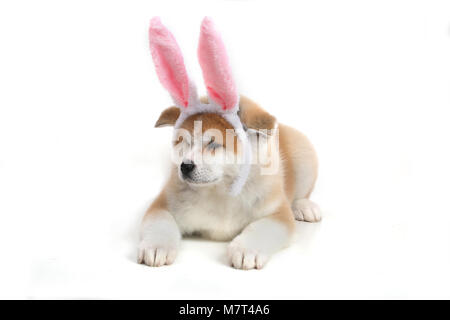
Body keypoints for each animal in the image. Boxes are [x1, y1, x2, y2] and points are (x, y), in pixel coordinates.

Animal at [137, 16, 320, 268]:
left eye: (213, 143)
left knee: (302, 193)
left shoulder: (277, 214)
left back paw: (305, 206)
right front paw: (157, 245)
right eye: (183, 142)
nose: (185, 166)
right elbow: (159, 223)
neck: (221, 191)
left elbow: (260, 229)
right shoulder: (164, 204)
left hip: (304, 154)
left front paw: (246, 248)